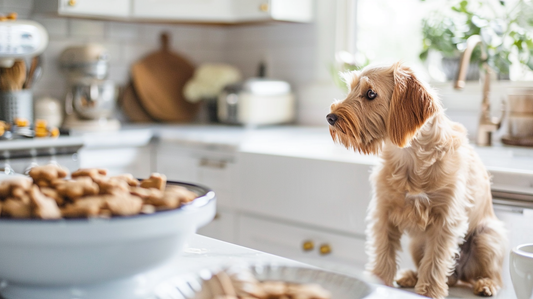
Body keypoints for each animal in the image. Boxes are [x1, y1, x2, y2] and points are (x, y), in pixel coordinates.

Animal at [326, 62, 504, 298]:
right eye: (351, 88)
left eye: (371, 93)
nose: (329, 117)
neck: (410, 157)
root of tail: (460, 275)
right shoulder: (383, 212)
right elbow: (384, 250)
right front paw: (380, 281)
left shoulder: (446, 221)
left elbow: (435, 260)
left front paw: (428, 292)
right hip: (417, 244)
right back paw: (410, 276)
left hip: (487, 238)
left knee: (493, 274)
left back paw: (486, 284)